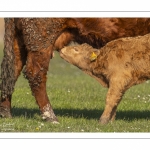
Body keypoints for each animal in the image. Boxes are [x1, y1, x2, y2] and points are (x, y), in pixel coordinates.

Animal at [0, 18, 150, 123]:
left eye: (77, 49)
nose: (63, 50)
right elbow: (112, 97)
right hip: (41, 38)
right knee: (35, 73)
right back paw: (51, 117)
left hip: (19, 40)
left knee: (13, 71)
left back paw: (6, 113)